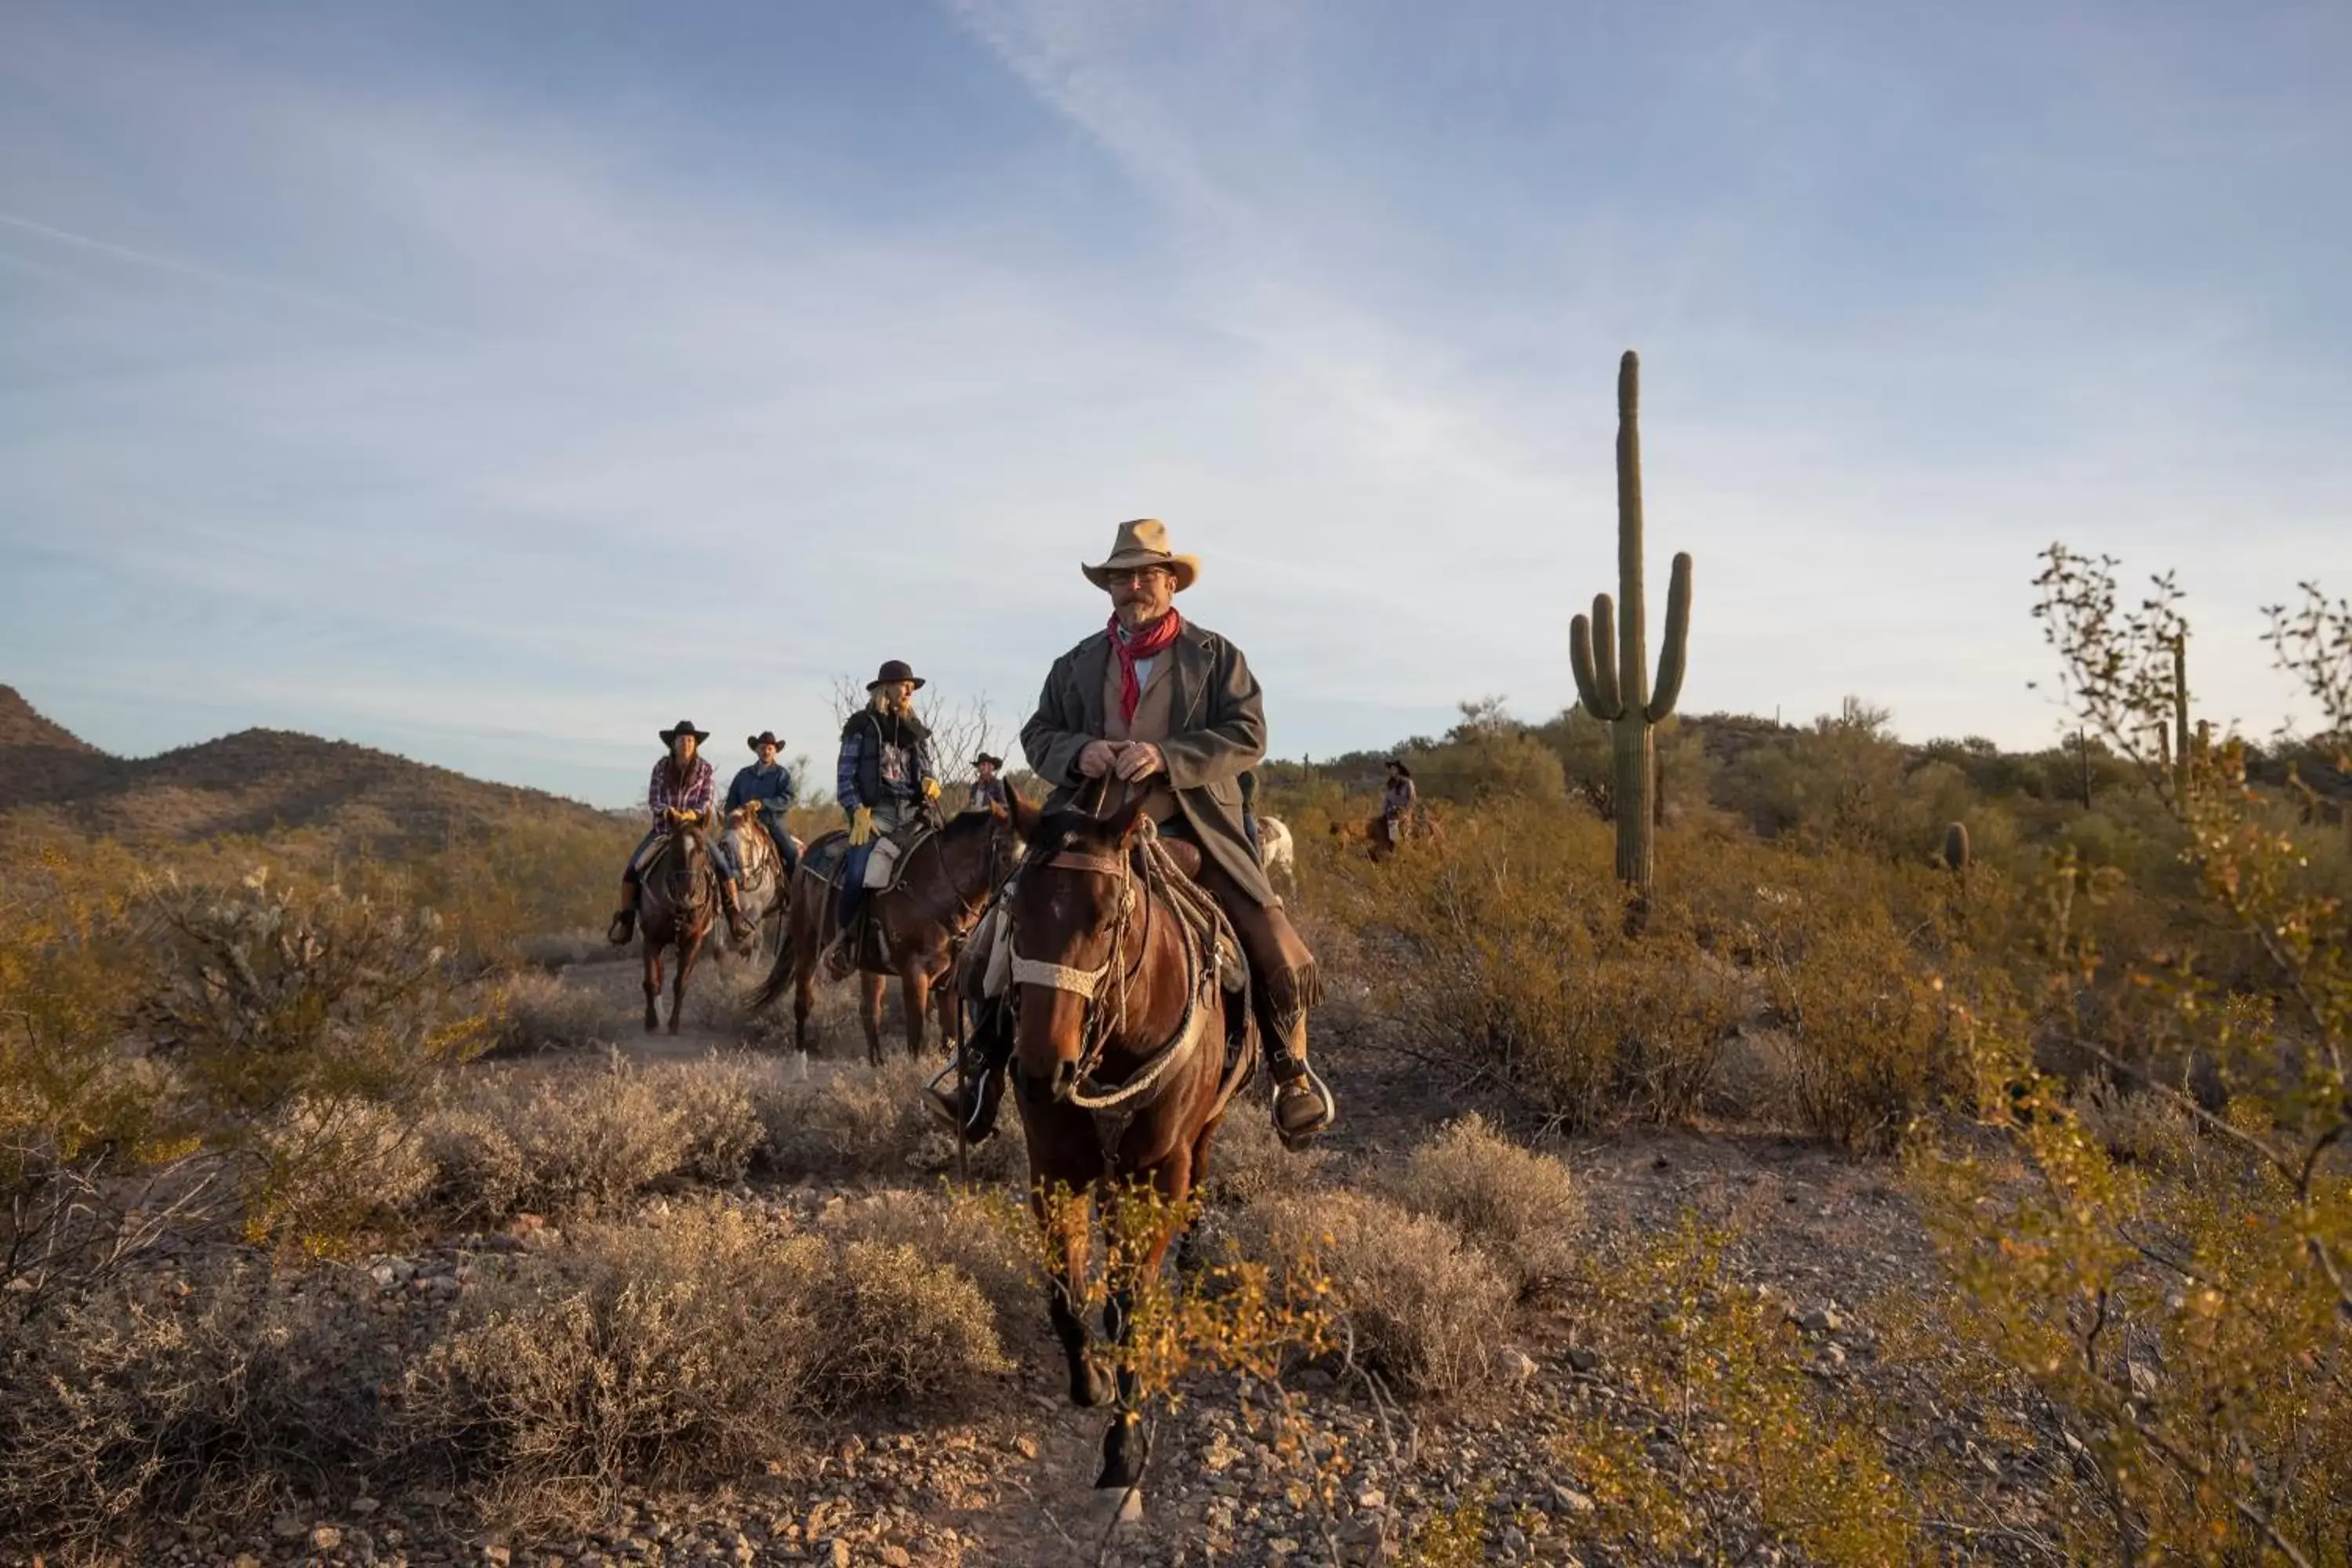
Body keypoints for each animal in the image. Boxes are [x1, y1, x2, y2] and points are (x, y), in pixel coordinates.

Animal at [635, 827, 715, 1034]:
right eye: (674, 849)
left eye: (702, 849)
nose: (686, 894)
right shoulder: (651, 939)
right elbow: (652, 981)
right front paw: (652, 1022)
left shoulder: (693, 941)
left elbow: (681, 983)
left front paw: (674, 1024)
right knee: (655, 978)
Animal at [757, 799, 1035, 1067]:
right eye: (1005, 854)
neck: (940, 886)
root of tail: (808, 855)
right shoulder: (915, 973)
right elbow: (917, 1038)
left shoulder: (950, 979)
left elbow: (949, 1039)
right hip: (806, 944)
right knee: (803, 1001)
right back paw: (800, 1063)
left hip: (868, 963)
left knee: (869, 1010)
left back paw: (877, 1065)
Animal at [1002, 799, 1251, 1504]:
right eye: (1014, 911)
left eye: (1110, 916)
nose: (1042, 1073)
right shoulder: (1053, 1171)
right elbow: (1067, 1294)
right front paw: (1091, 1379)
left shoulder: (1160, 1174)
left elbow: (1132, 1308)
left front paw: (1125, 1447)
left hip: (1200, 1137)